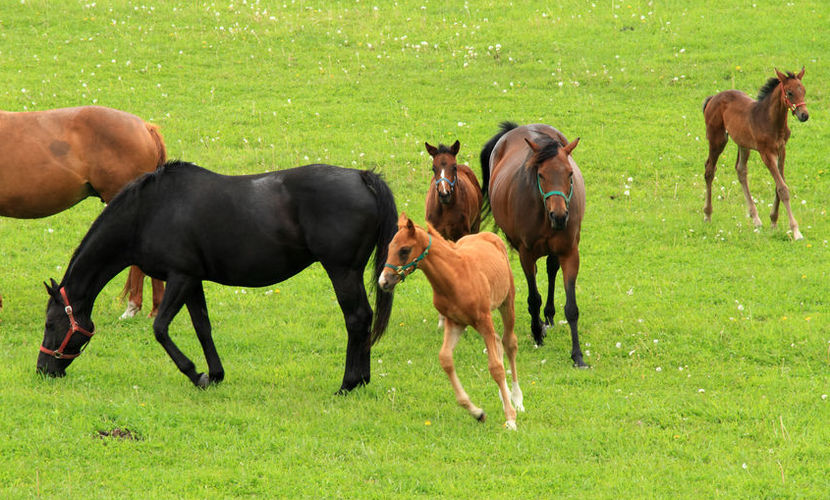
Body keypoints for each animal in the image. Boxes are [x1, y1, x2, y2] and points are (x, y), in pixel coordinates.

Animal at [38, 161, 400, 394]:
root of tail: (362, 177)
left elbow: (160, 329)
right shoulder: (193, 280)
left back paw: (348, 384)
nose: (43, 369)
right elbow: (202, 327)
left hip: (341, 271)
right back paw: (362, 380)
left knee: (356, 318)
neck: (149, 211)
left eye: (51, 323)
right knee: (365, 318)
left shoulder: (180, 277)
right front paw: (214, 375)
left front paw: (194, 373)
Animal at [380, 213, 524, 428]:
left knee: (509, 343)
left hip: (507, 302)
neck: (455, 277)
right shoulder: (454, 322)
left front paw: (510, 418)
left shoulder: (483, 320)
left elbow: (496, 368)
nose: (384, 281)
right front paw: (477, 412)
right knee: (499, 341)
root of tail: (487, 235)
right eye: (389, 247)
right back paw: (503, 394)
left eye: (404, 250)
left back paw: (517, 399)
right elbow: (446, 359)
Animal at [478, 121, 588, 368]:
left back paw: (549, 315)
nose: (560, 216)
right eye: (541, 174)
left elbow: (572, 307)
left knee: (550, 270)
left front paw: (577, 355)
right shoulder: (526, 254)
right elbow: (533, 296)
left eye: (569, 173)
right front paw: (537, 332)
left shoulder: (570, 252)